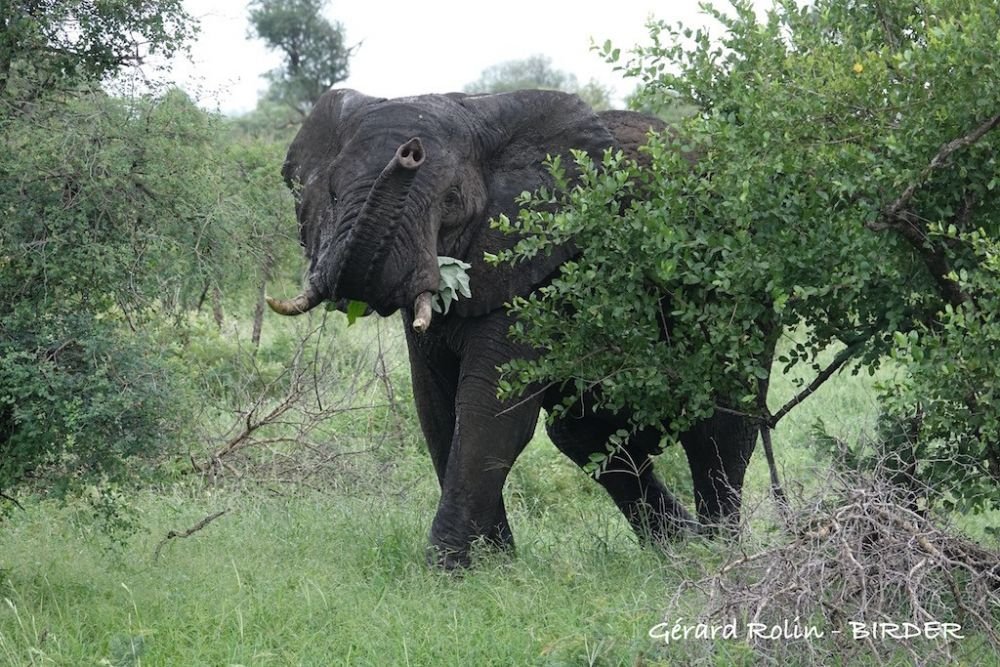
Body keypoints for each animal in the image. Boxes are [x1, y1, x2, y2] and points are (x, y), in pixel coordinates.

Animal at [266, 88, 756, 568]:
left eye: (451, 200)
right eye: (330, 194)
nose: (410, 151)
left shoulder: (538, 261)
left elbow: (490, 411)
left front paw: (447, 570)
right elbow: (437, 410)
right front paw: (496, 565)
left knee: (720, 422)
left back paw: (718, 552)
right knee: (585, 434)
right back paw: (680, 546)